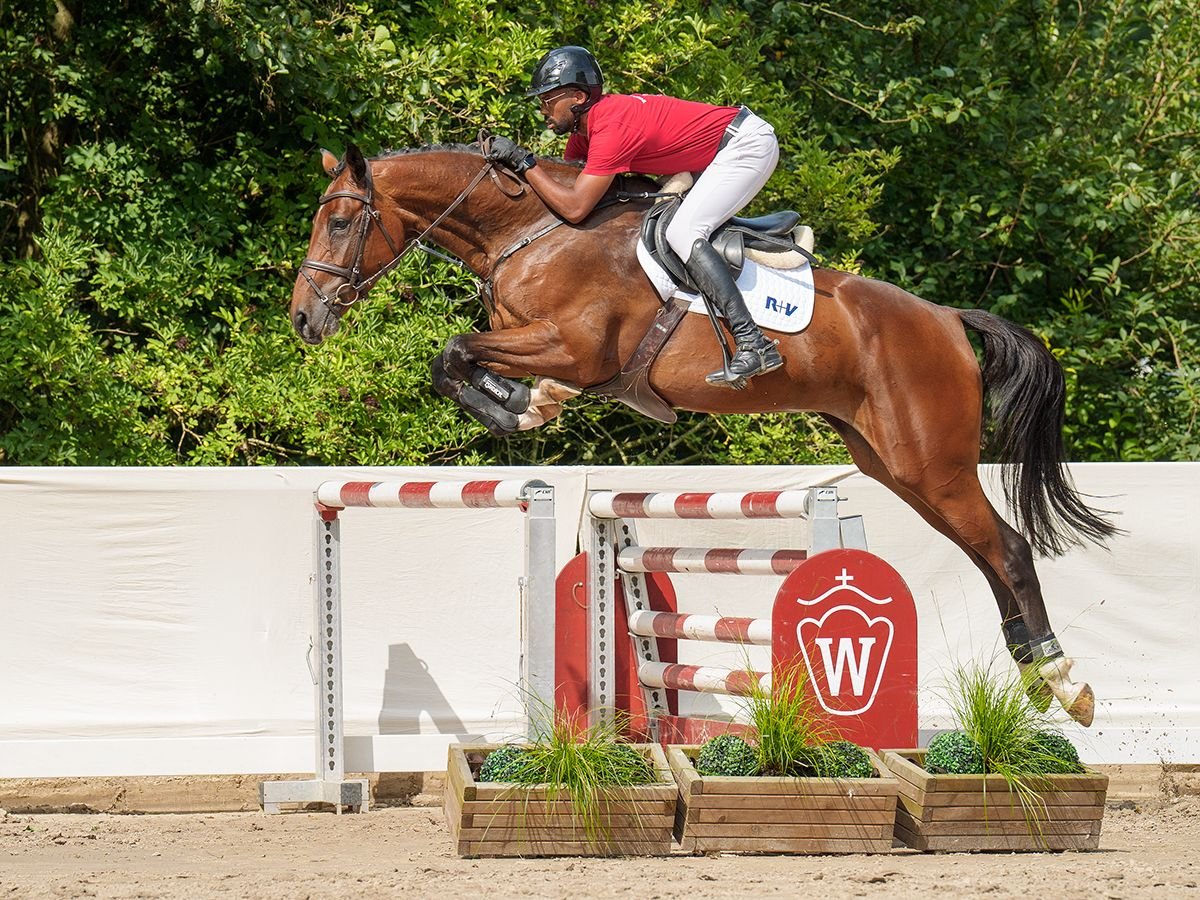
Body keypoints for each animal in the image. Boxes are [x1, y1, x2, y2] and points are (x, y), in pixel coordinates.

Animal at [288, 142, 1113, 734]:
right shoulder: (541, 344)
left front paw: (522, 408)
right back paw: (1038, 678)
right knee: (986, 554)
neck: (529, 230)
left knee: (1008, 550)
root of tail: (945, 318)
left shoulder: (577, 348)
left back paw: (1067, 684)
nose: (304, 319)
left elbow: (455, 351)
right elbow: (459, 358)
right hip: (894, 465)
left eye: (340, 221)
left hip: (930, 459)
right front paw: (528, 404)